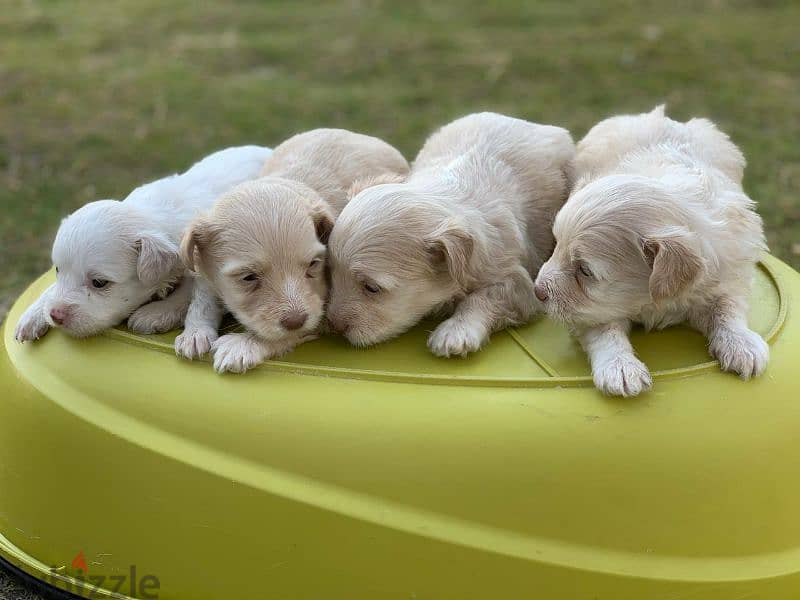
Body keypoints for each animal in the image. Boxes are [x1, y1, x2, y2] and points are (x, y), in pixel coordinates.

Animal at [13, 146, 272, 342]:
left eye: (99, 283)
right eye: (57, 270)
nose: (56, 315)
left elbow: (191, 293)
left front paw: (156, 314)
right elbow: (50, 289)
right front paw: (31, 316)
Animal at [177, 127, 410, 370]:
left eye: (313, 264)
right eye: (248, 277)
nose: (296, 320)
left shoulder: (322, 306)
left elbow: (286, 335)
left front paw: (242, 345)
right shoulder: (202, 266)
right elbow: (203, 297)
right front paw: (194, 334)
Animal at [324, 112, 576, 356]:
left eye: (371, 288)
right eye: (330, 273)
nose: (334, 326)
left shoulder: (518, 280)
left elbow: (484, 296)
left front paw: (455, 333)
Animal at [536, 106, 764, 398]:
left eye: (584, 270)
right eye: (556, 244)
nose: (537, 291)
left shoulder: (728, 274)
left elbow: (728, 306)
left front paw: (742, 344)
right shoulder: (592, 311)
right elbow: (605, 330)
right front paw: (620, 368)